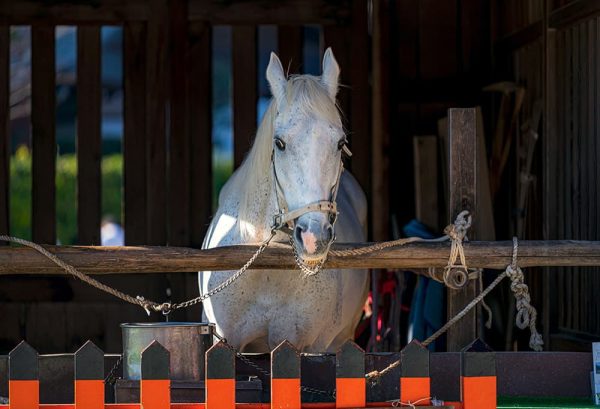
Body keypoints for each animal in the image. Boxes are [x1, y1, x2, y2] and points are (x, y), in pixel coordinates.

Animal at [199, 47, 368, 352]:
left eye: (340, 143)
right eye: (279, 143)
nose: (313, 237)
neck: (267, 268)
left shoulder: (312, 347)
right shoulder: (225, 340)